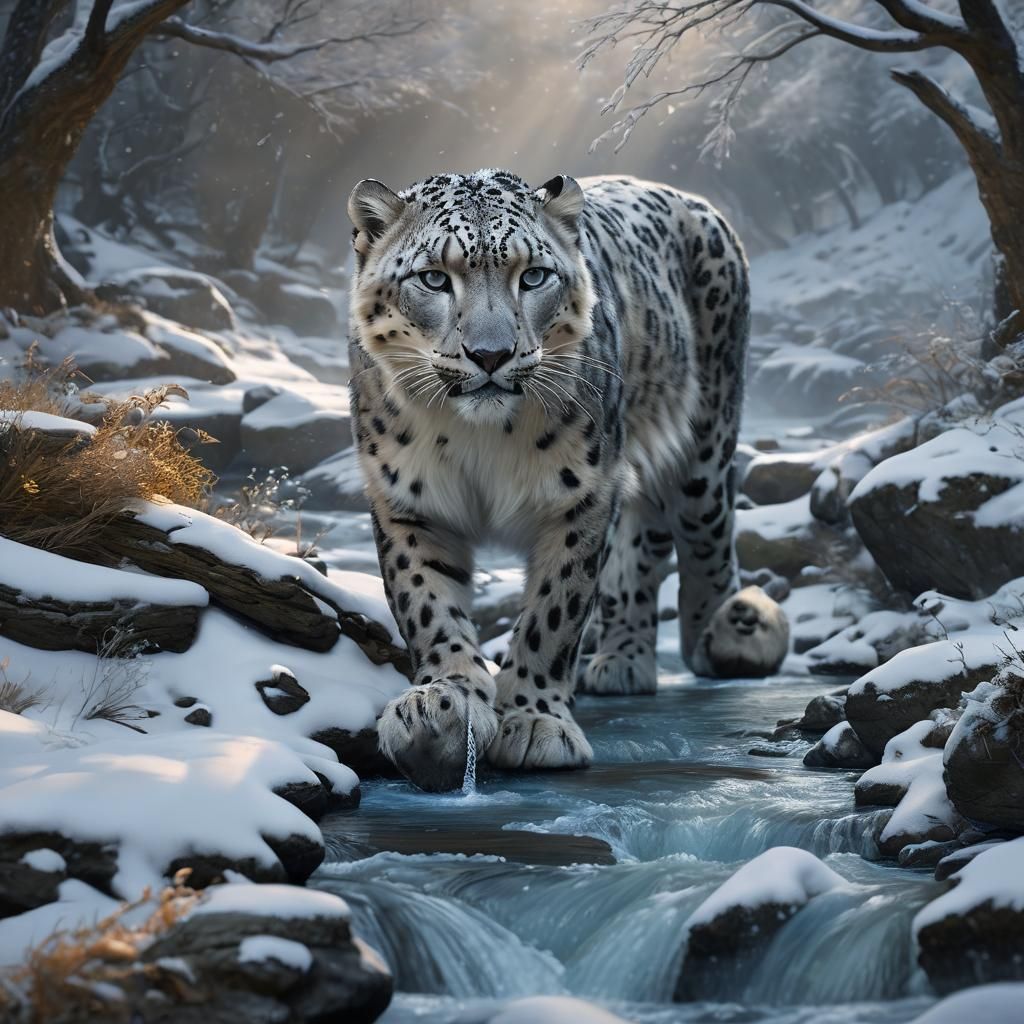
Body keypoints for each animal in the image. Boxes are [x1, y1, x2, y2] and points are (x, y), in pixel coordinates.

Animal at [346, 168, 789, 791]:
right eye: (433, 277)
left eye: (533, 275)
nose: (490, 354)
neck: (477, 441)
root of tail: (695, 202)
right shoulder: (408, 499)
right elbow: (427, 602)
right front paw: (442, 706)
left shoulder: (580, 494)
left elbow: (554, 610)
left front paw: (535, 720)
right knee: (640, 552)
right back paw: (621, 659)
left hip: (704, 441)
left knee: (704, 541)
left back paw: (726, 637)